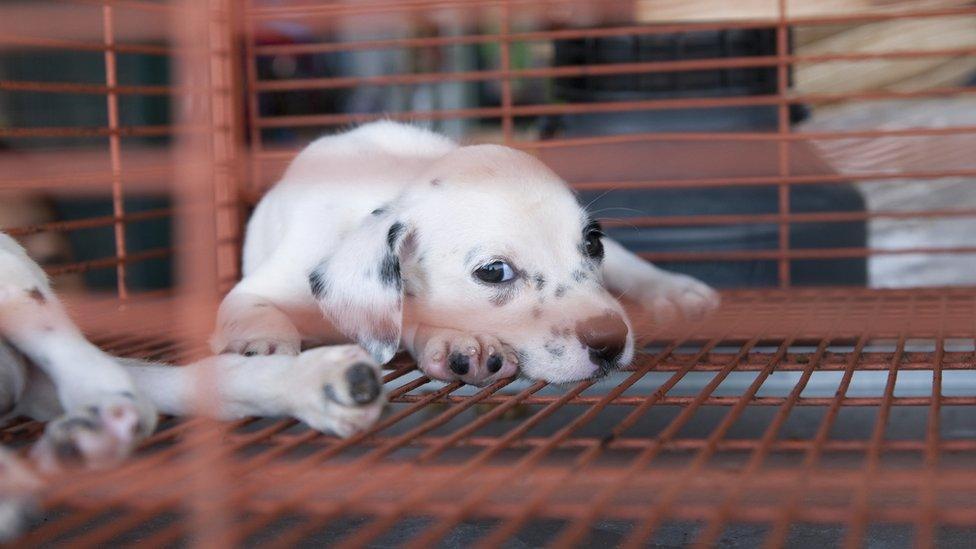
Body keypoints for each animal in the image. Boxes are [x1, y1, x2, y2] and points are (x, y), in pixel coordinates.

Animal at [214, 121, 716, 384]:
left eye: (592, 243)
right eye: (493, 271)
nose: (610, 341)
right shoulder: (264, 285)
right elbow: (255, 310)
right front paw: (263, 346)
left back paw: (673, 290)